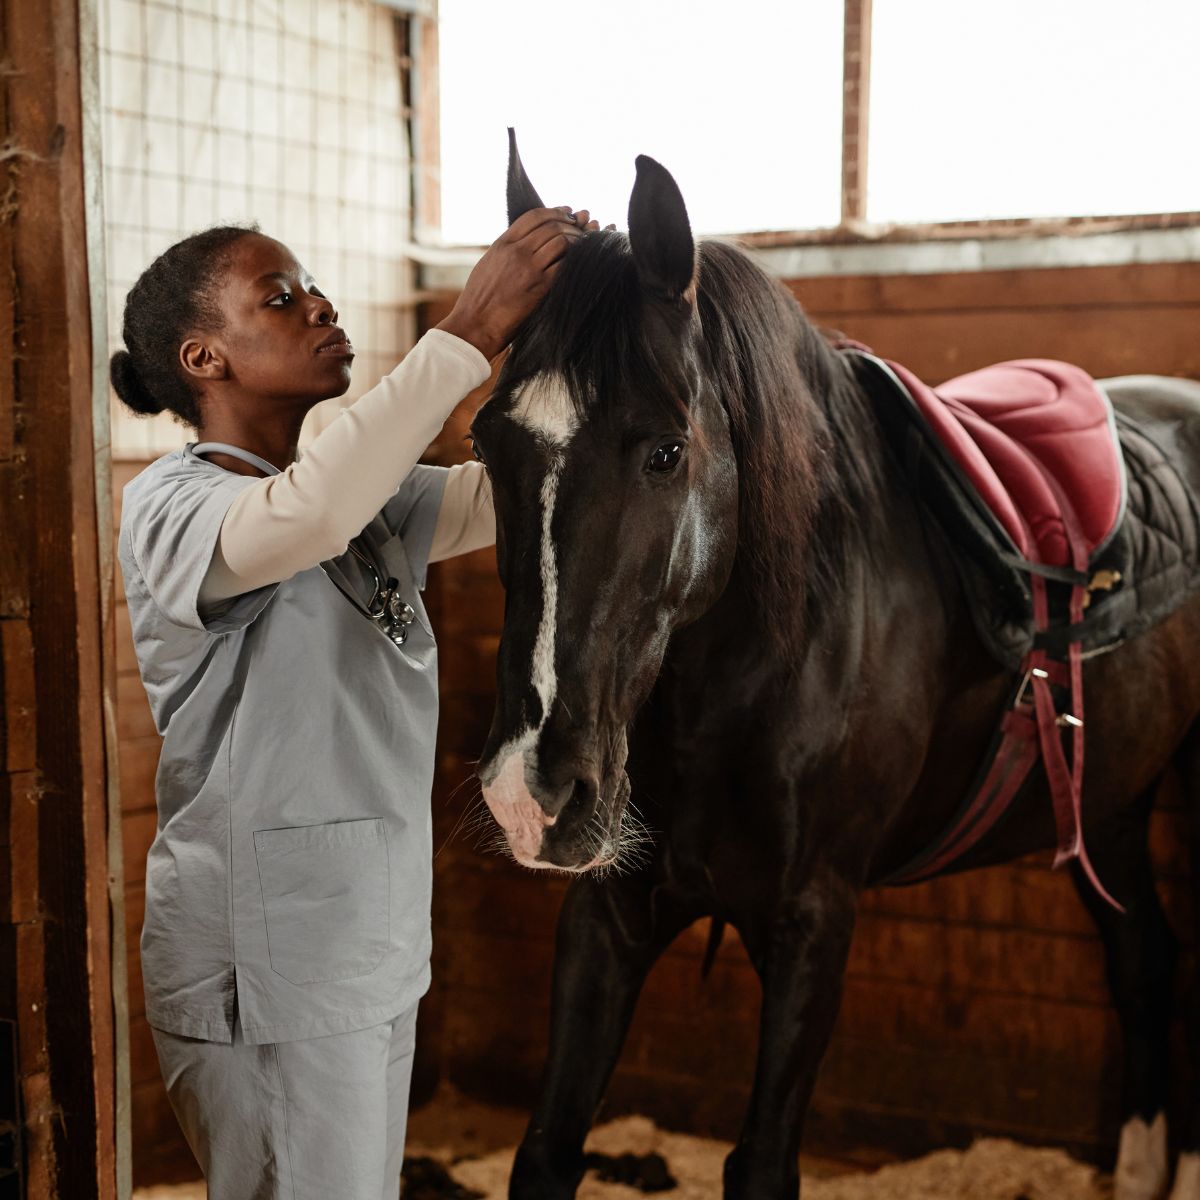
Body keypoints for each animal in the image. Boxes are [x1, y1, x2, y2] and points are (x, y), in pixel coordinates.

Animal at [463, 142, 1200, 1200]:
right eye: (486, 444)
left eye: (665, 450)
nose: (532, 793)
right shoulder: (609, 911)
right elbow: (549, 1146)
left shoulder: (814, 922)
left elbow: (765, 1164)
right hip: (1111, 801)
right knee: (1142, 957)